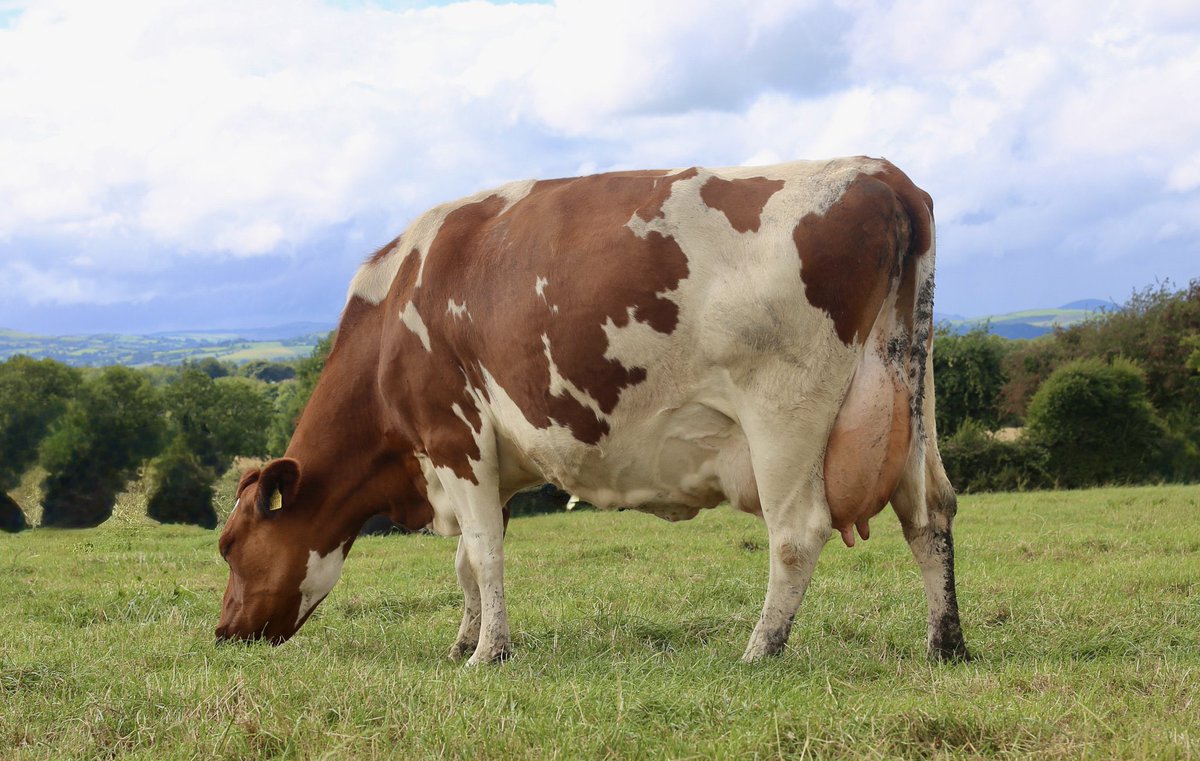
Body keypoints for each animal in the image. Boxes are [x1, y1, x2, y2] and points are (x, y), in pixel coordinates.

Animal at [215, 157, 969, 665]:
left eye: (229, 545)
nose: (221, 632)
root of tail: (877, 172)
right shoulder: (490, 459)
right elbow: (466, 562)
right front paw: (465, 639)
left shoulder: (454, 433)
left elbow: (482, 552)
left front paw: (488, 653)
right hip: (912, 396)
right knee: (930, 511)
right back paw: (946, 643)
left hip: (784, 412)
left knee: (797, 531)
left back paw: (761, 648)